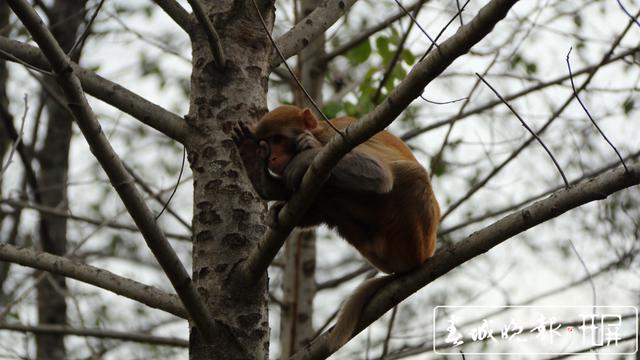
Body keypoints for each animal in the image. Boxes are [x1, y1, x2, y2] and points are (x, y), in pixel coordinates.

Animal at [231, 105, 440, 352]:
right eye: (268, 142)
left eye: (278, 139)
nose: (271, 157)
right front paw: (255, 163)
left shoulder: (336, 140)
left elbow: (378, 175)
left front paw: (302, 157)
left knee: (410, 174)